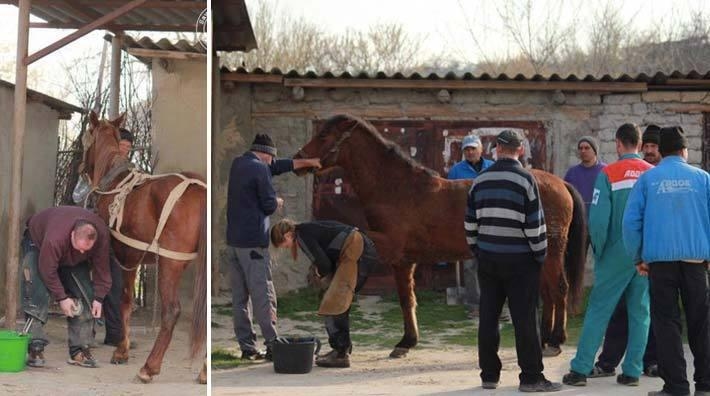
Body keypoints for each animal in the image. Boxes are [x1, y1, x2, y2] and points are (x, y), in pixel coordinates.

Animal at [82, 111, 209, 384]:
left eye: (87, 137)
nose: (82, 169)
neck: (117, 183)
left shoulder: (126, 256)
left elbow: (124, 300)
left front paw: (122, 349)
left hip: (171, 263)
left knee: (171, 311)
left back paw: (149, 367)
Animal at [296, 113, 588, 358]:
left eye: (325, 135)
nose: (299, 159)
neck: (398, 190)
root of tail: (561, 183)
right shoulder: (404, 260)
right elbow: (407, 299)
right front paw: (407, 342)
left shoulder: (391, 249)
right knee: (548, 292)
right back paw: (545, 338)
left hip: (551, 252)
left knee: (558, 289)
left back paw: (556, 340)